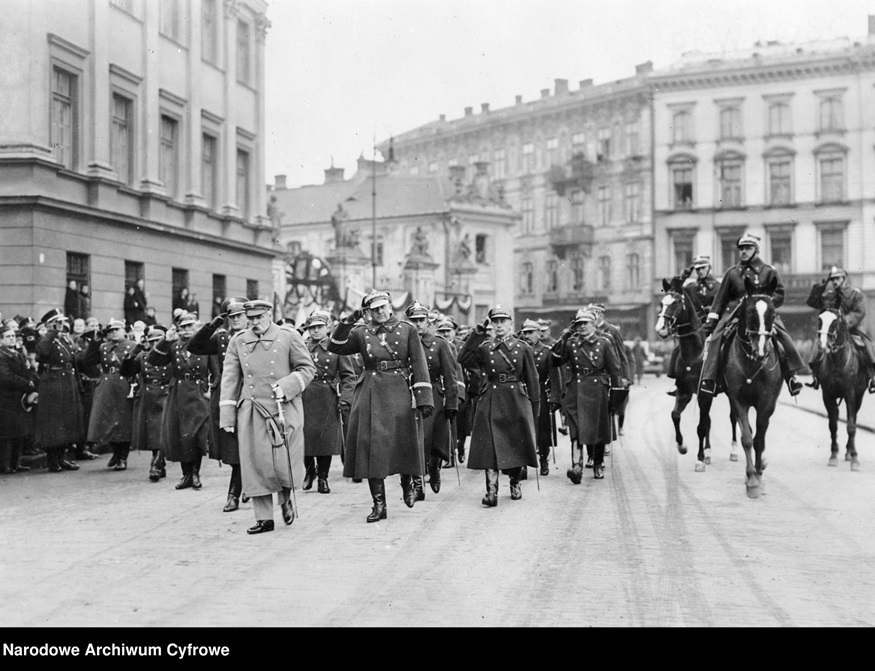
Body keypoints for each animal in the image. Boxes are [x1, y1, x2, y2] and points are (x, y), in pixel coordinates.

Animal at [656, 276, 740, 470]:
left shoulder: (704, 394)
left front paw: (699, 459)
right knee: (708, 419)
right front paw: (683, 447)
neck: (695, 353)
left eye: (676, 303)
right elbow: (676, 415)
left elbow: (701, 426)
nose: (660, 328)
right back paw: (708, 452)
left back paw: (733, 451)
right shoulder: (684, 392)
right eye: (661, 303)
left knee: (733, 417)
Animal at [724, 278, 788, 498]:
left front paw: (758, 474)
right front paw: (751, 478)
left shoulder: (767, 403)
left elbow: (760, 439)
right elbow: (747, 438)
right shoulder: (737, 400)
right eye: (750, 311)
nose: (761, 352)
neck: (752, 362)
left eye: (773, 312)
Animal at [816, 304, 868, 472]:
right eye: (820, 320)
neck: (837, 362)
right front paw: (833, 456)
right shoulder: (827, 395)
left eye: (834, 322)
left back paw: (849, 452)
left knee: (853, 419)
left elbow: (851, 426)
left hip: (858, 396)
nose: (822, 345)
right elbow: (833, 425)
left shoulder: (850, 394)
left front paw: (855, 459)